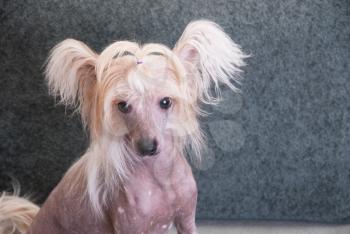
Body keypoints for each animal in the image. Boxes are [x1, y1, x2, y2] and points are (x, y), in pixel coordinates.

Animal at [0, 20, 246, 234]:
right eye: (123, 105)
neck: (160, 179)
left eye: (165, 102)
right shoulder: (130, 227)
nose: (147, 147)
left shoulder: (186, 220)